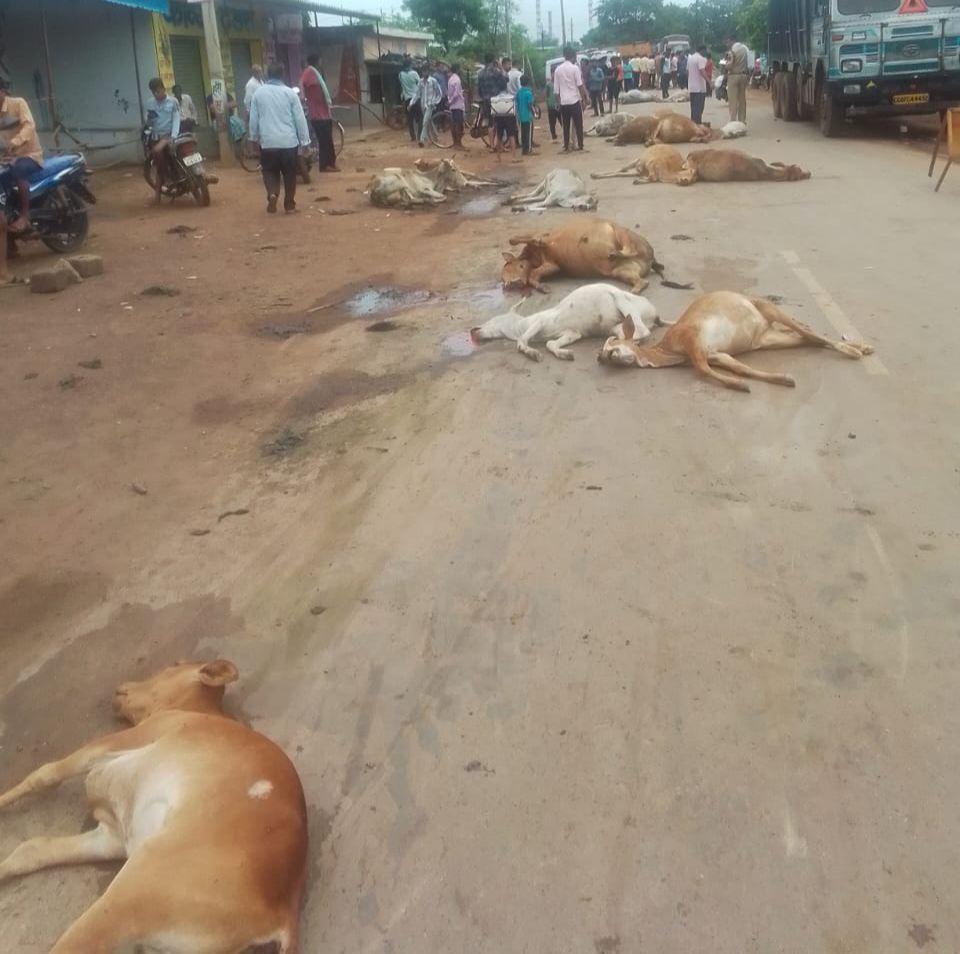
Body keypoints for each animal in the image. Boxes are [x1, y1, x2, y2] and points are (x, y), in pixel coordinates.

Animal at [0, 660, 308, 952]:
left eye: (175, 664)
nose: (120, 687)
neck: (194, 710)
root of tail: (283, 910)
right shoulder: (113, 835)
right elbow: (32, 849)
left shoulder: (112, 743)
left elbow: (43, 775)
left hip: (128, 893)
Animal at [468, 280, 664, 362]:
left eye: (491, 320)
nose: (472, 330)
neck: (522, 325)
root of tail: (656, 314)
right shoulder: (572, 333)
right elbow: (551, 344)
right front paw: (565, 354)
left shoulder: (539, 322)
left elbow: (522, 341)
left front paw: (532, 353)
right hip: (616, 324)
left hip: (620, 299)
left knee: (641, 330)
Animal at [498, 214, 692, 292]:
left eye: (516, 266)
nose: (511, 284)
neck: (533, 257)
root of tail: (652, 259)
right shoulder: (553, 265)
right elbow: (534, 275)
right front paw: (541, 287)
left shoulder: (540, 236)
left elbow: (516, 239)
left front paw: (538, 241)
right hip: (623, 271)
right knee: (642, 281)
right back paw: (635, 289)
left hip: (622, 232)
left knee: (628, 247)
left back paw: (615, 253)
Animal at [600, 292, 876, 392]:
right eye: (602, 353)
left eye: (612, 343)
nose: (606, 357)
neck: (669, 350)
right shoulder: (716, 354)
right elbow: (741, 367)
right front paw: (783, 379)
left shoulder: (692, 338)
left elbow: (702, 370)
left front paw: (739, 386)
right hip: (769, 339)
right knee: (806, 338)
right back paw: (861, 347)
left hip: (770, 309)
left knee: (812, 334)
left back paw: (855, 350)